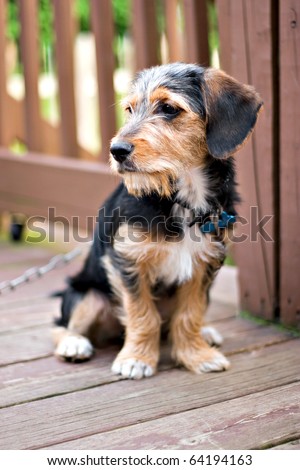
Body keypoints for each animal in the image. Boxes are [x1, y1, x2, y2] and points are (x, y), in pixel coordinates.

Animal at [52, 61, 262, 378]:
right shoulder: (128, 261)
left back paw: (206, 333)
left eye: (169, 108)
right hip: (87, 292)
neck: (182, 194)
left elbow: (190, 312)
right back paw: (73, 344)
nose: (117, 150)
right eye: (129, 109)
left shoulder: (204, 262)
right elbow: (143, 314)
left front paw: (196, 355)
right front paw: (137, 359)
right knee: (64, 324)